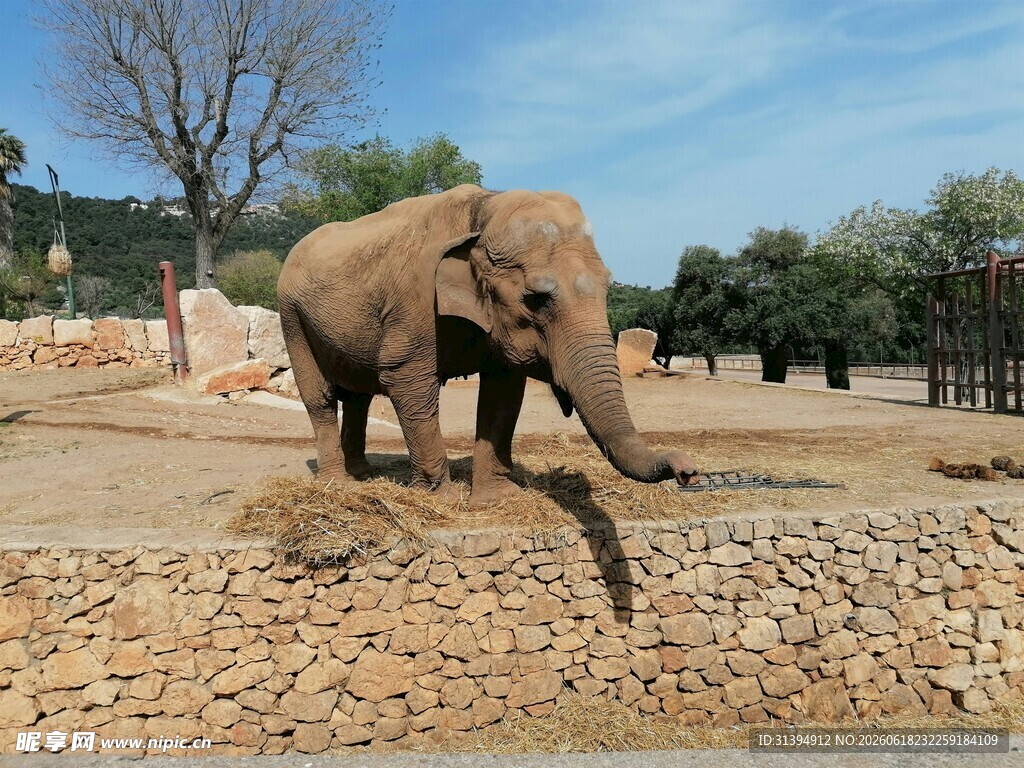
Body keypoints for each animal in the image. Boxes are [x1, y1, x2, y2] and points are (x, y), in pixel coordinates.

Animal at [277, 184, 701, 506]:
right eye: (536, 299)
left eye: (609, 288)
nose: (688, 471)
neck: (485, 210)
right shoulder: (414, 302)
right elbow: (405, 379)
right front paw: (443, 501)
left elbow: (503, 391)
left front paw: (496, 499)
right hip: (291, 316)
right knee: (320, 397)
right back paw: (337, 484)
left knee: (358, 397)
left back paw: (363, 474)